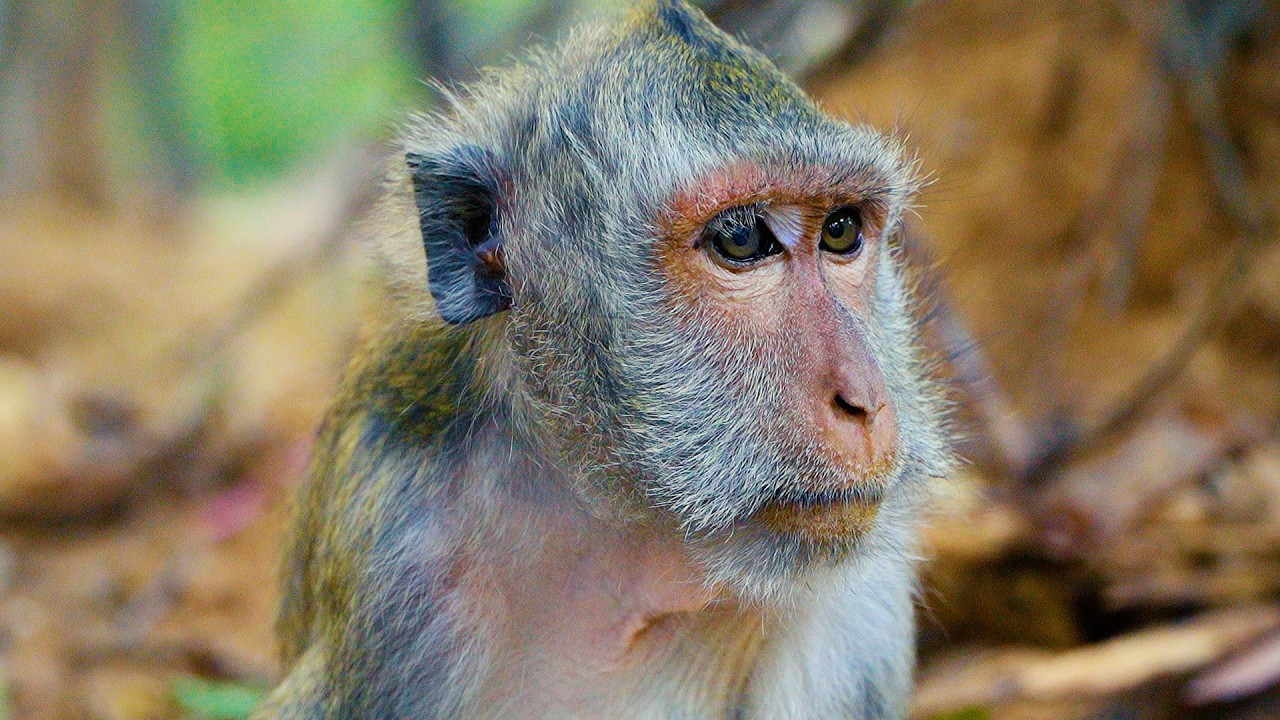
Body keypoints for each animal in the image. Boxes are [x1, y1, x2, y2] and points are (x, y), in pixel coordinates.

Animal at [253, 2, 952, 719]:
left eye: (841, 230)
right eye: (742, 238)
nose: (864, 401)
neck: (619, 520)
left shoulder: (860, 604)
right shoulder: (397, 558)